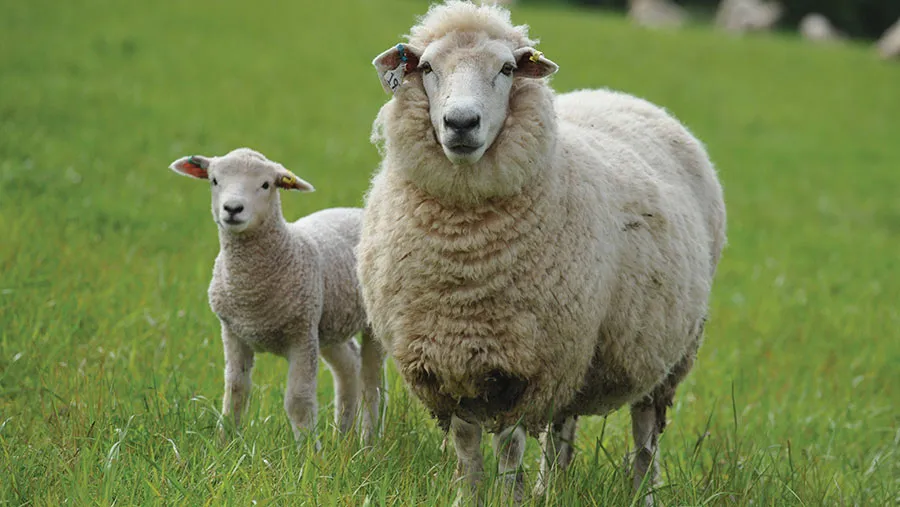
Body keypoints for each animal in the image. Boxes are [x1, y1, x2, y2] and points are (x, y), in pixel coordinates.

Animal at [169, 147, 385, 446]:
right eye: (214, 180)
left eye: (266, 184)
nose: (232, 209)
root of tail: (357, 211)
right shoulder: (234, 332)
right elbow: (236, 391)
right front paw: (225, 444)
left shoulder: (301, 336)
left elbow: (298, 401)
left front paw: (309, 451)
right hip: (327, 323)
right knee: (349, 365)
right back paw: (342, 437)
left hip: (370, 322)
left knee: (372, 385)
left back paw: (368, 443)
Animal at [358, 1, 726, 502]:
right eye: (428, 67)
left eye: (507, 69)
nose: (461, 124)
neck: (464, 259)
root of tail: (621, 97)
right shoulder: (446, 362)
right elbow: (466, 447)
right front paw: (468, 496)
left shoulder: (528, 366)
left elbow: (510, 447)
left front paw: (509, 497)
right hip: (580, 356)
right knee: (561, 432)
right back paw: (550, 488)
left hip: (666, 352)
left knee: (645, 436)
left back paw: (640, 494)